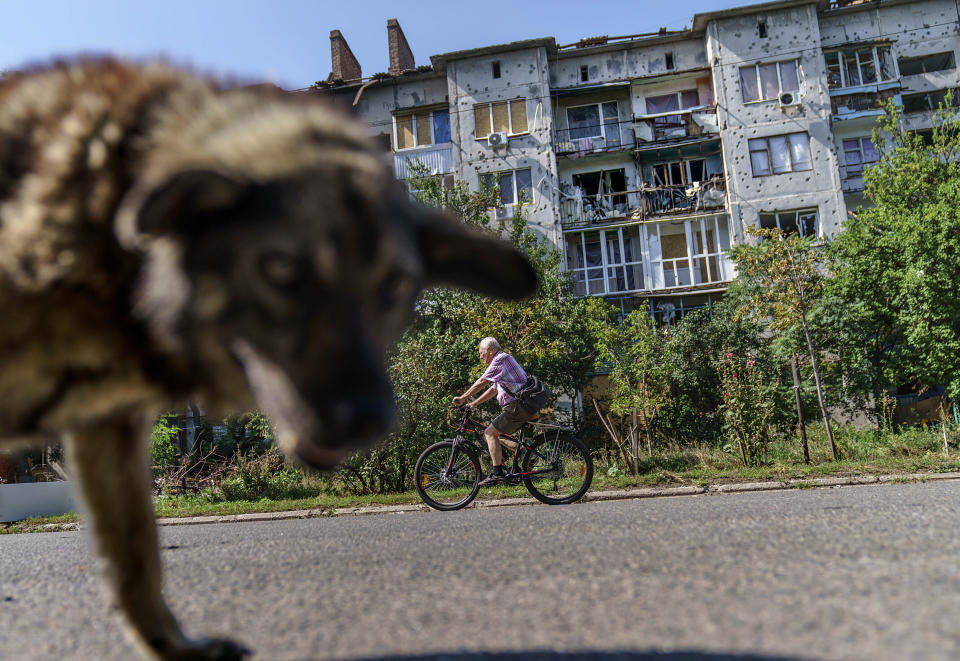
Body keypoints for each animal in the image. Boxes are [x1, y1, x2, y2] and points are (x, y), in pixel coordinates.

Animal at [0, 59, 540, 656]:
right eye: (281, 269)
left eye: (396, 286)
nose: (368, 418)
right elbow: (134, 558)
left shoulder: (108, 426)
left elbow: (138, 558)